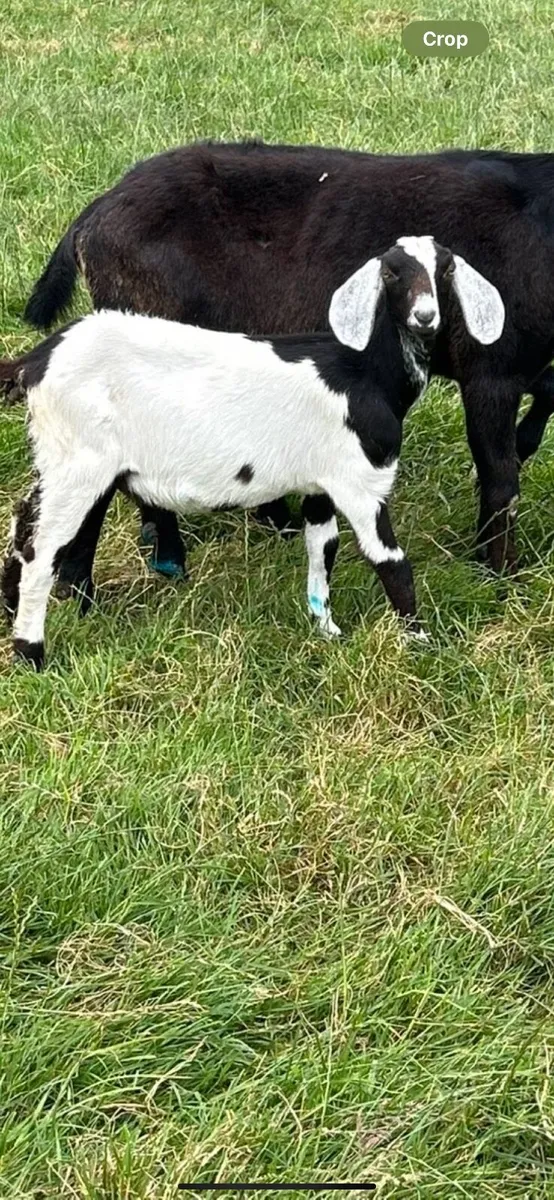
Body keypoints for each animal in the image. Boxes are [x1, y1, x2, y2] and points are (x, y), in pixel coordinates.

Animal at [2, 236, 504, 669]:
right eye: (391, 273)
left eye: (446, 270)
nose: (425, 316)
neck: (367, 372)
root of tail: (35, 363)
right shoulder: (360, 483)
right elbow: (391, 561)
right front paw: (421, 642)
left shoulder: (320, 484)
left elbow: (322, 548)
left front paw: (326, 629)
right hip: (79, 462)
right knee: (41, 547)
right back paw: (31, 653)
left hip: (59, 456)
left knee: (26, 522)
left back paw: (14, 615)